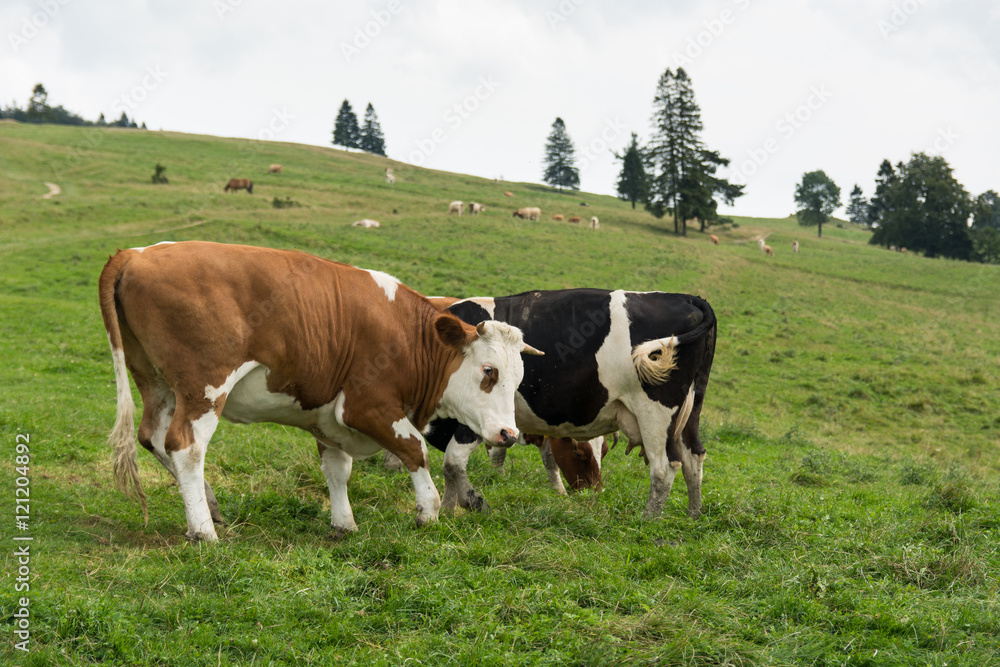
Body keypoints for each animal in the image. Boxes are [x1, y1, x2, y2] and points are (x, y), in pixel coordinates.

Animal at [100, 243, 540, 540]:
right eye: (489, 371)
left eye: (519, 379)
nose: (509, 434)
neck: (407, 335)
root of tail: (136, 253)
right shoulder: (365, 406)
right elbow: (415, 450)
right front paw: (427, 512)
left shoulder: (329, 419)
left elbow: (337, 469)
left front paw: (344, 523)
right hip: (204, 389)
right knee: (185, 447)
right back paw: (203, 530)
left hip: (157, 383)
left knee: (153, 438)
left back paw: (209, 506)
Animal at [426, 290, 716, 520]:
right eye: (580, 453)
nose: (594, 493)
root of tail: (687, 297)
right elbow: (452, 469)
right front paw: (451, 510)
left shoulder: (478, 417)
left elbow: (453, 461)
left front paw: (469, 503)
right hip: (691, 409)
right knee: (693, 457)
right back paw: (693, 515)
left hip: (655, 412)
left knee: (665, 466)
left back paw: (648, 520)